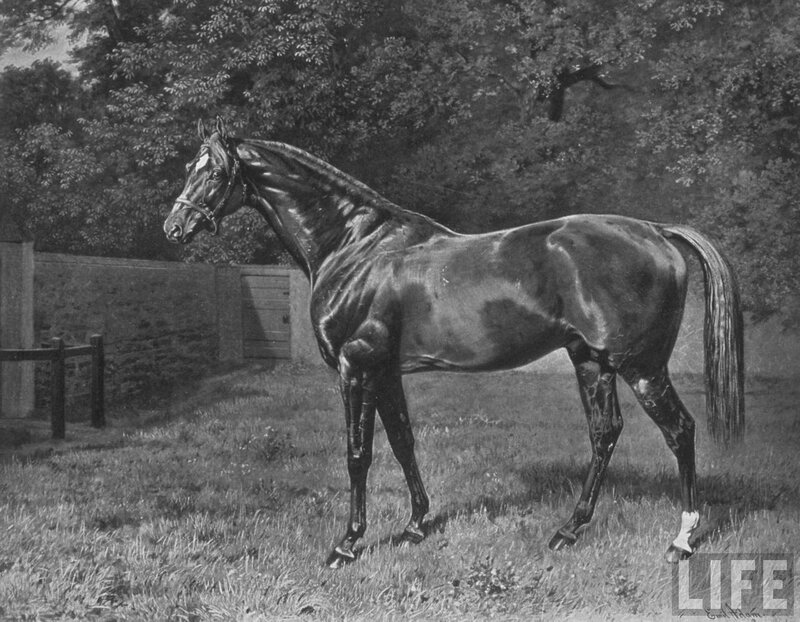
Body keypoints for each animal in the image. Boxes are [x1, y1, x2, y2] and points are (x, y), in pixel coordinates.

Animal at [164, 118, 744, 568]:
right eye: (191, 166)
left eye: (213, 171)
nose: (174, 226)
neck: (356, 247)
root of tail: (656, 231)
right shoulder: (385, 371)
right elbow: (402, 442)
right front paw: (416, 525)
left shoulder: (357, 366)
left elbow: (358, 454)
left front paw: (348, 545)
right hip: (592, 362)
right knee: (605, 434)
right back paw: (568, 531)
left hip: (641, 366)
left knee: (680, 431)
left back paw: (681, 541)